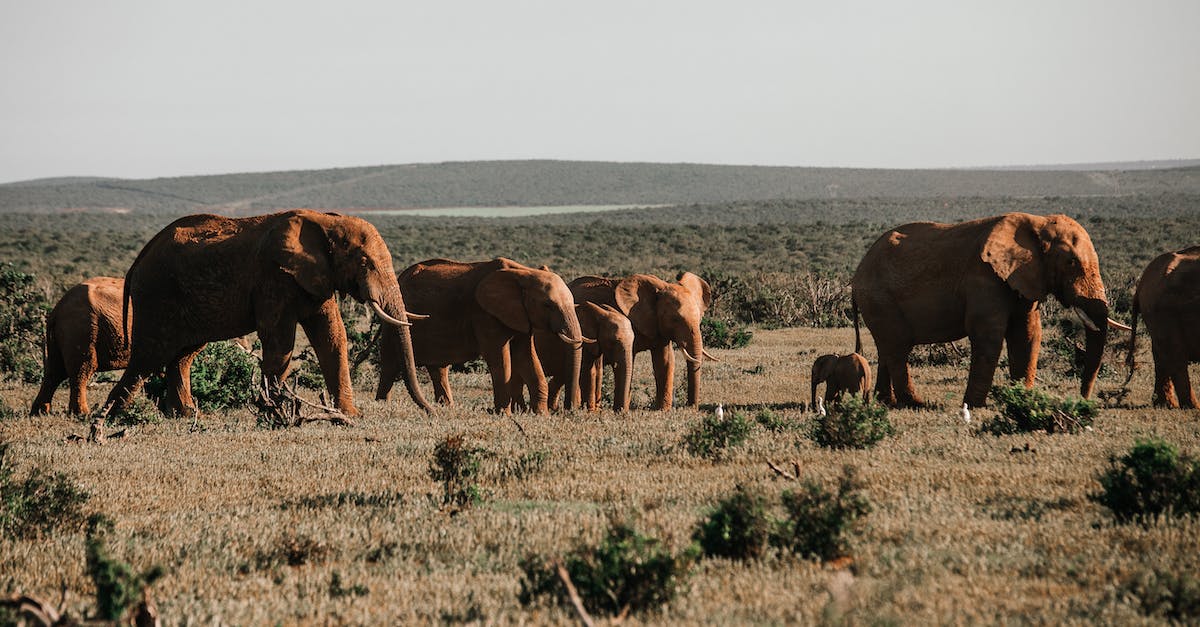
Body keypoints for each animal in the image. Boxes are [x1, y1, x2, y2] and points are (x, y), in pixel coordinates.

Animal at [101, 209, 430, 418]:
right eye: (365, 264)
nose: (432, 411)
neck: (327, 221)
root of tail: (139, 258)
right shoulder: (273, 277)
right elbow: (280, 340)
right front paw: (274, 414)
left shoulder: (317, 277)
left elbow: (332, 337)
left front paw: (351, 415)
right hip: (157, 295)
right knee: (148, 356)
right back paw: (108, 419)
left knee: (182, 355)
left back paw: (186, 416)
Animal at [376, 258, 587, 414]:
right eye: (548, 305)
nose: (568, 409)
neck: (524, 273)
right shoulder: (484, 313)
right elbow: (499, 359)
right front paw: (504, 414)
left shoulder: (521, 317)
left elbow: (527, 358)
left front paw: (541, 415)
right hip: (393, 320)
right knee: (389, 365)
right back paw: (382, 404)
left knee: (438, 368)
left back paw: (447, 407)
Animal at [569, 271, 714, 410]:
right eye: (675, 319)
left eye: (700, 318)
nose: (691, 408)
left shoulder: (658, 327)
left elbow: (665, 362)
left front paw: (662, 411)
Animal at [851, 212, 1129, 409]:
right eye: (1071, 262)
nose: (1083, 399)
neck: (1038, 223)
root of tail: (858, 271)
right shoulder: (984, 277)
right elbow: (989, 335)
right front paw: (974, 406)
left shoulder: (1024, 278)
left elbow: (1027, 334)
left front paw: (1022, 400)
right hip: (879, 299)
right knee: (898, 348)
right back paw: (916, 404)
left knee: (888, 348)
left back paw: (887, 402)